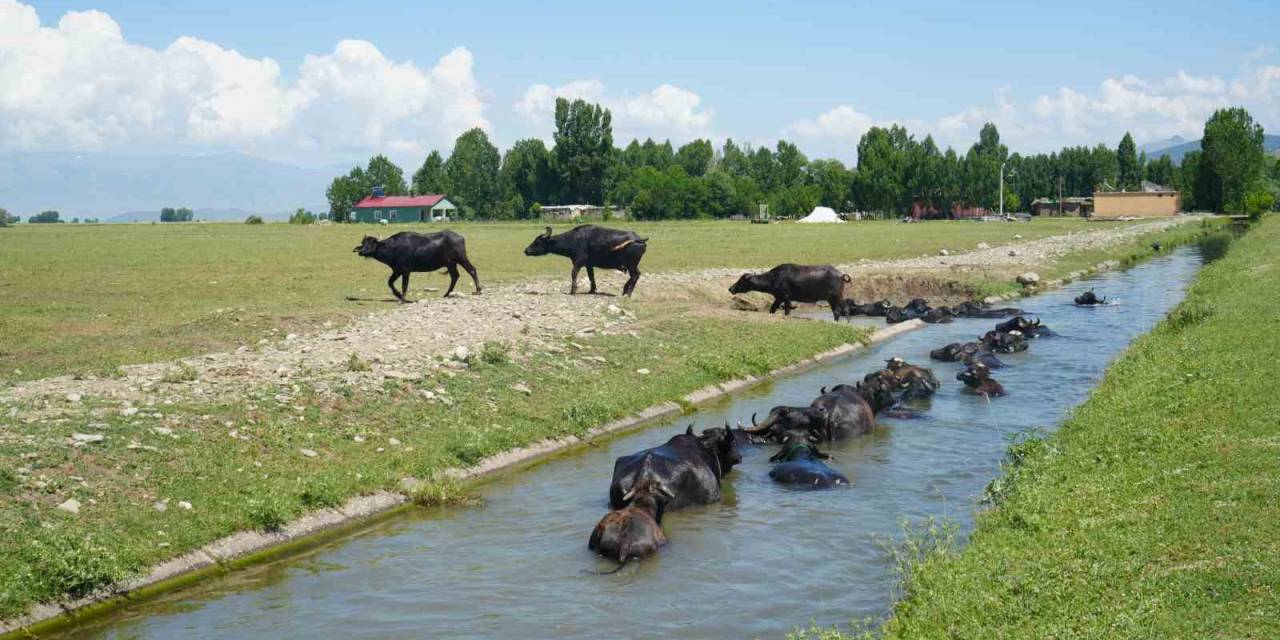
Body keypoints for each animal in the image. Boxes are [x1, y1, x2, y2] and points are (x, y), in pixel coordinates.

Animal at [353, 230, 481, 302]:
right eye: (363, 243)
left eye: (371, 243)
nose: (361, 252)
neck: (393, 248)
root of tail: (460, 237)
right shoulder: (396, 270)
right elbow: (390, 282)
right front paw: (398, 295)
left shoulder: (405, 271)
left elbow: (404, 285)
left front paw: (403, 298)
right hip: (450, 264)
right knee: (455, 276)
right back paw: (446, 294)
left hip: (461, 258)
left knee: (472, 270)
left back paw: (478, 290)